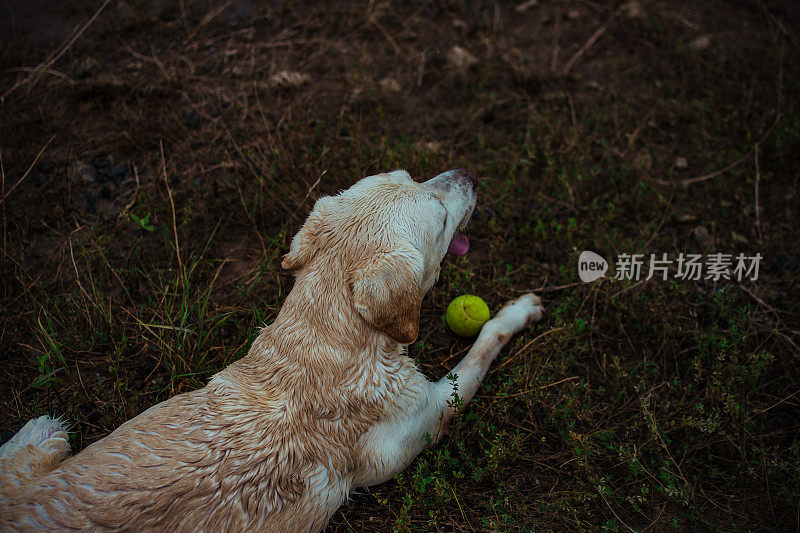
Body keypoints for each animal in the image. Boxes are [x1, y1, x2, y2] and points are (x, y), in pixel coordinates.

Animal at [1, 168, 544, 528]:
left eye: (411, 174)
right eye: (442, 216)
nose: (468, 173)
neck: (324, 340)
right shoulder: (432, 413)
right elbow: (485, 342)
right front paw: (520, 309)